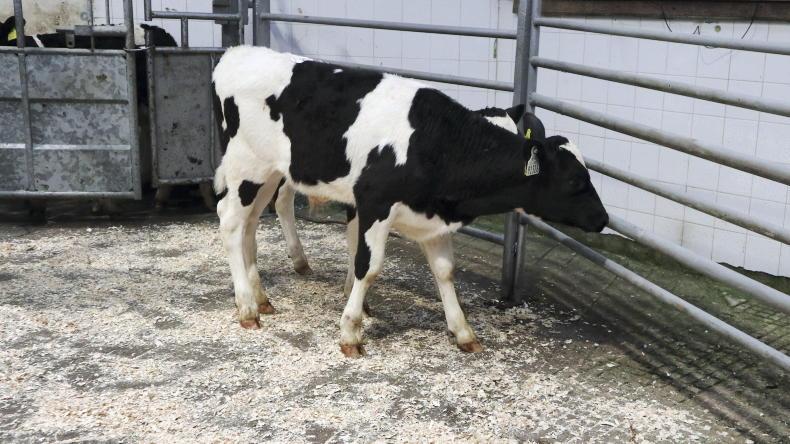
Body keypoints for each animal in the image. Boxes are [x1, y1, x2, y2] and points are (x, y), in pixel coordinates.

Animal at [211, 46, 608, 357]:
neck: (434, 143)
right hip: (246, 167)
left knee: (250, 223)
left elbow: (445, 270)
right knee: (230, 221)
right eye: (575, 180)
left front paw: (463, 332)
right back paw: (247, 307)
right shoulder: (374, 204)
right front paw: (351, 330)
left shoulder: (433, 216)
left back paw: (261, 296)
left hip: (268, 172)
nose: (603, 219)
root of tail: (236, 54)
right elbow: (367, 266)